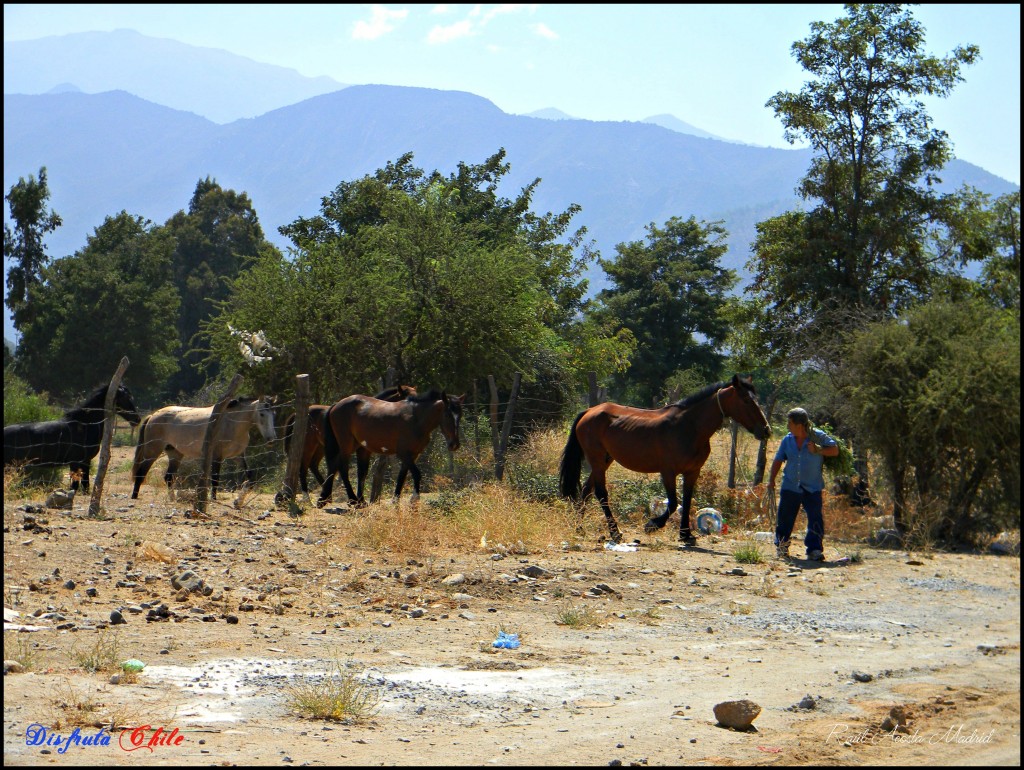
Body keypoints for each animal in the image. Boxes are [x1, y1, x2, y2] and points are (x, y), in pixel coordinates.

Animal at [3, 385, 142, 493]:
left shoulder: (85, 461)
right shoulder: (75, 462)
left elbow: (85, 486)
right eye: (124, 397)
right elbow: (75, 487)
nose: (137, 419)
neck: (85, 425)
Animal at [130, 397, 278, 499]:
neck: (232, 423)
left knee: (168, 478)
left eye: (273, 413)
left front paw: (241, 496)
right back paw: (134, 496)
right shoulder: (217, 456)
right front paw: (213, 499)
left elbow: (250, 476)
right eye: (262, 413)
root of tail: (153, 416)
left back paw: (172, 499)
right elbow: (215, 479)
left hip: (175, 454)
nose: (271, 439)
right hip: (152, 451)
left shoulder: (238, 456)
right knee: (141, 473)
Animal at [280, 385, 415, 499]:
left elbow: (362, 472)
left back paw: (327, 493)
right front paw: (358, 499)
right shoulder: (359, 449)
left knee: (314, 466)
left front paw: (361, 499)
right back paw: (308, 498)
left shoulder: (363, 450)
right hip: (311, 446)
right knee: (304, 469)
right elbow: (356, 471)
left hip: (320, 448)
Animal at [317, 387, 466, 507]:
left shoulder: (413, 455)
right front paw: (414, 499)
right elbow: (417, 474)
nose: (454, 444)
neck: (415, 419)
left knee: (344, 468)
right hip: (346, 445)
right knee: (342, 468)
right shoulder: (404, 454)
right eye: (447, 414)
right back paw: (353, 500)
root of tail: (336, 405)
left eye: (460, 415)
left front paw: (396, 501)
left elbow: (402, 477)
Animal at [561, 374, 770, 544]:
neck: (689, 427)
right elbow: (674, 502)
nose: (766, 430)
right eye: (746, 400)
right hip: (596, 460)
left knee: (586, 491)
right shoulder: (668, 472)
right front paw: (652, 525)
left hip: (605, 460)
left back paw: (579, 527)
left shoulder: (692, 472)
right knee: (601, 493)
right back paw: (615, 532)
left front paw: (686, 534)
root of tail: (589, 411)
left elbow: (686, 501)